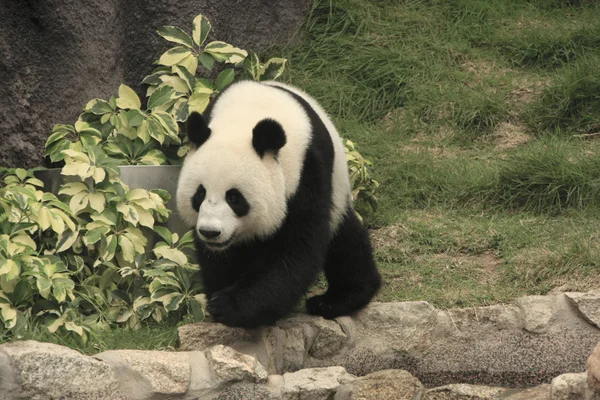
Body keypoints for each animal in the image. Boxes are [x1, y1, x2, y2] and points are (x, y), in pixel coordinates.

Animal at [175, 79, 380, 328]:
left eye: (234, 198)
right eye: (200, 194)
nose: (210, 232)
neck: (246, 116)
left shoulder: (306, 174)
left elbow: (295, 248)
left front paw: (230, 306)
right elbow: (218, 259)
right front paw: (220, 294)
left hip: (338, 187)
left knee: (345, 238)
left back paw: (339, 298)